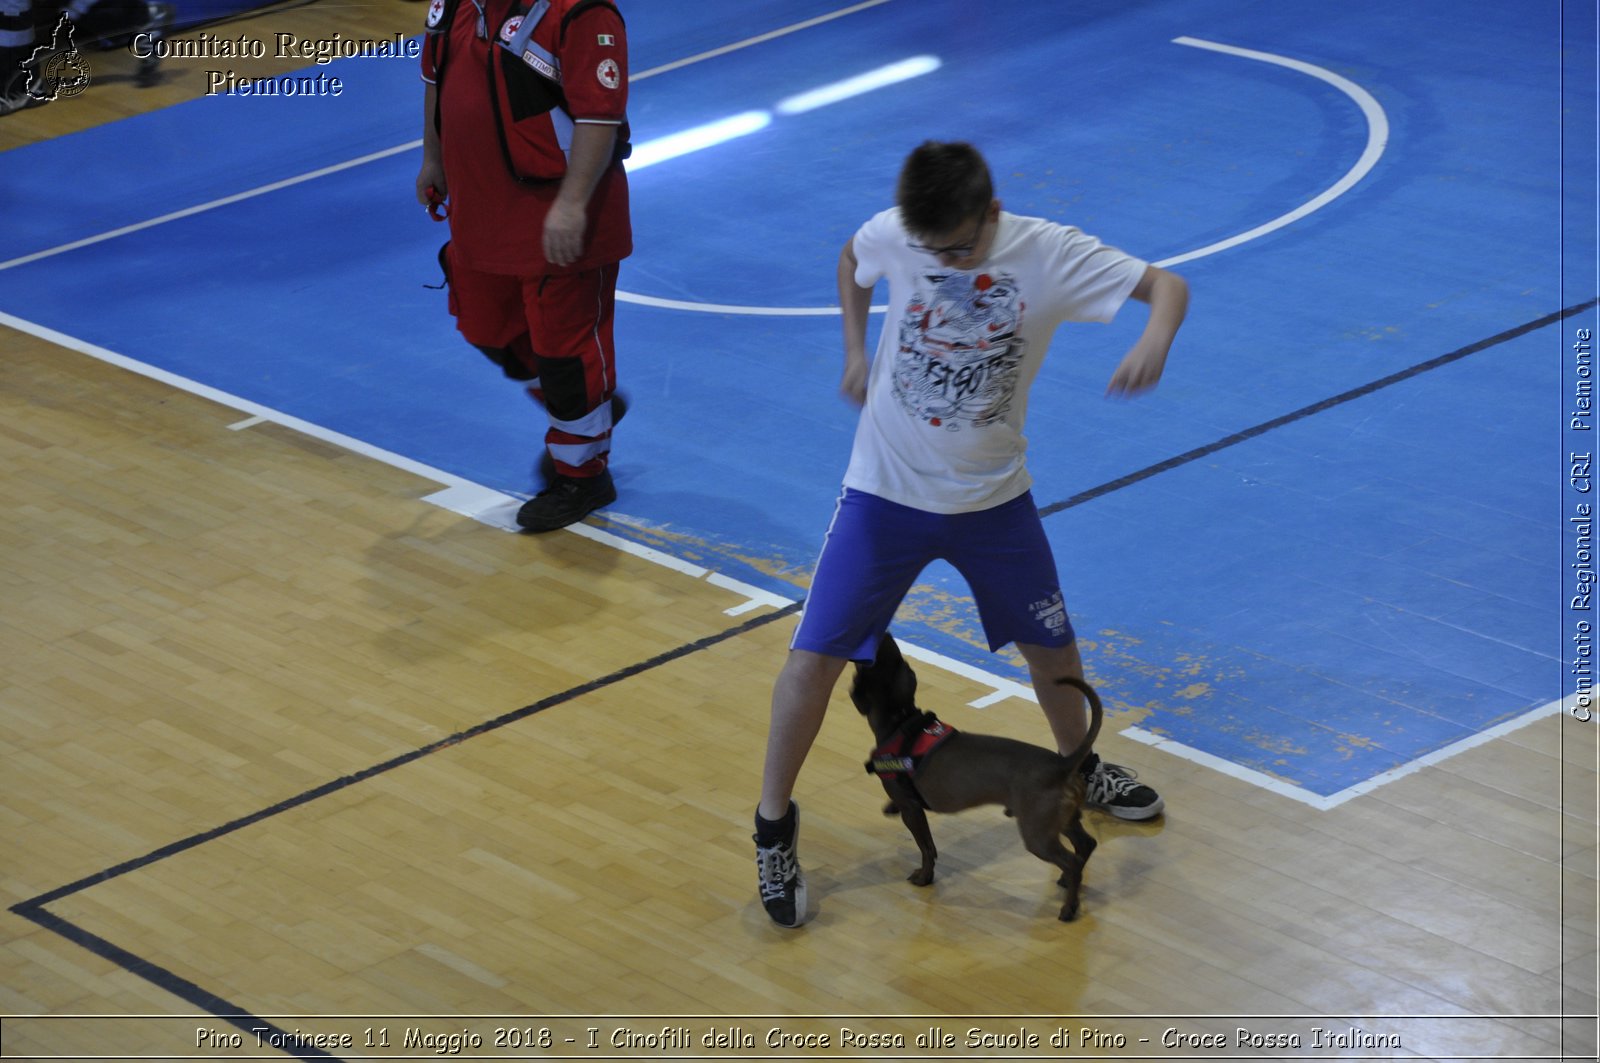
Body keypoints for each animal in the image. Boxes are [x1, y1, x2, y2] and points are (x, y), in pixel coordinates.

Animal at [851, 630, 1100, 922]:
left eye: (870, 660)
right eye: (890, 650)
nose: (886, 631)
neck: (901, 721)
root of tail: (1063, 764)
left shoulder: (912, 810)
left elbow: (927, 848)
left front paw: (924, 877)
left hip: (1037, 835)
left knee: (1072, 862)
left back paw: (1069, 908)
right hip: (1063, 821)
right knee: (1085, 846)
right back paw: (1067, 883)